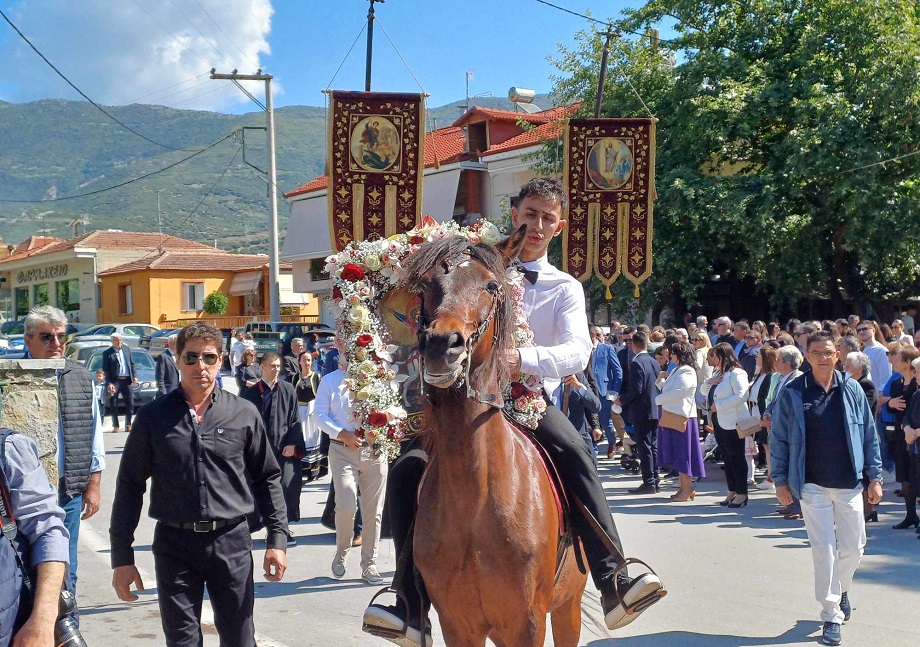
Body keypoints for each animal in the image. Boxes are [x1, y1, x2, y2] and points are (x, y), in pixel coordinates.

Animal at [404, 229, 588, 647]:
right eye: (426, 286)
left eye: (490, 286)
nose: (442, 345)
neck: (475, 501)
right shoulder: (458, 625)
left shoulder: (527, 622)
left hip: (567, 606)